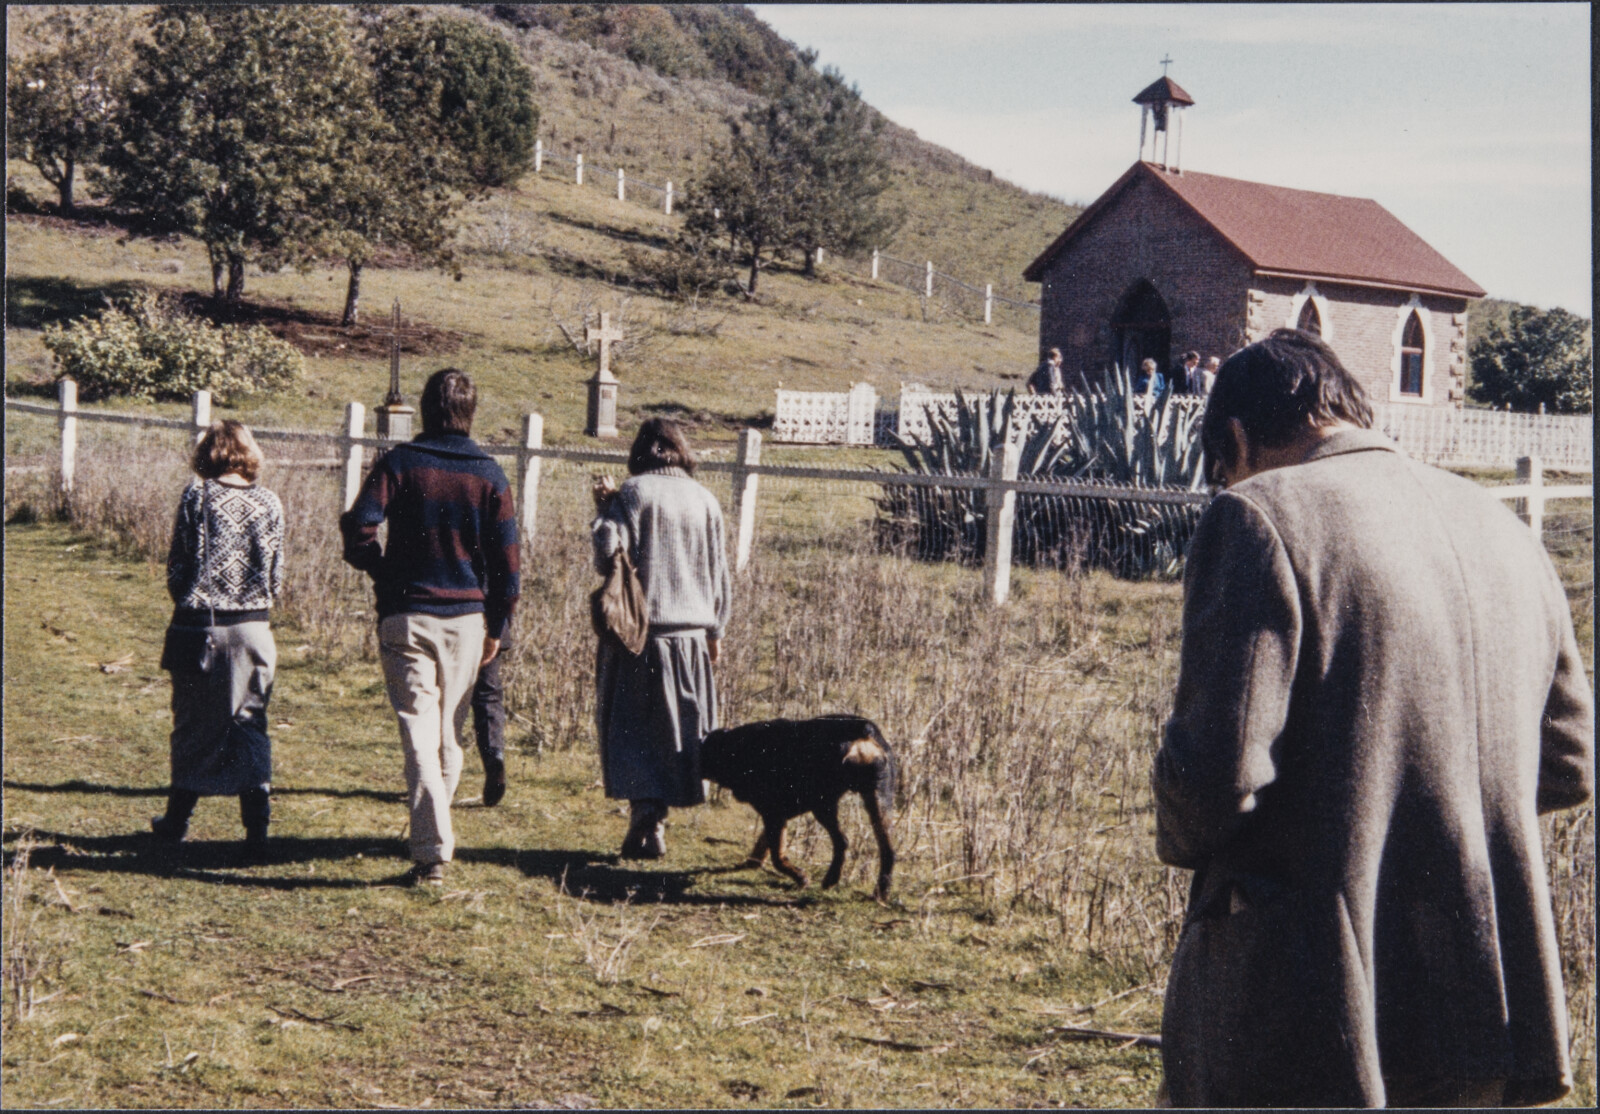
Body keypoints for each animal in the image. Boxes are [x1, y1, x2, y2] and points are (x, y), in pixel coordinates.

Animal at [704, 717, 902, 902]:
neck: (739, 748)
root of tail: (863, 731)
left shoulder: (774, 814)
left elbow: (777, 856)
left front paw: (800, 877)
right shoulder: (777, 816)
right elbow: (766, 843)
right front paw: (754, 862)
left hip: (824, 806)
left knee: (842, 841)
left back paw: (831, 879)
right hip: (878, 800)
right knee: (887, 850)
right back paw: (880, 892)